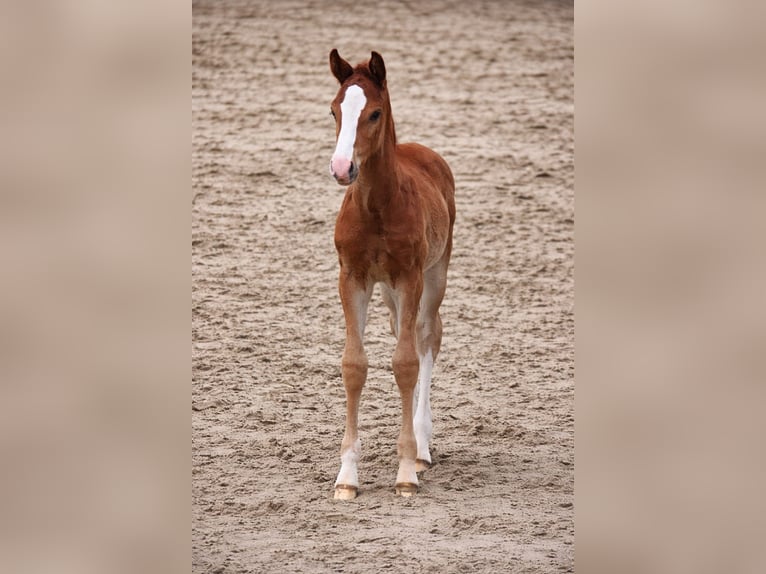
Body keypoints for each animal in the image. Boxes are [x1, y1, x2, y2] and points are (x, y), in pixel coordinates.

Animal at [327, 49, 456, 499]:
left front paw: (405, 472)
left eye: (375, 113)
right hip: (388, 291)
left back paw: (422, 448)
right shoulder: (353, 278)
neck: (377, 207)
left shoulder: (410, 276)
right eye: (334, 110)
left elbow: (405, 363)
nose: (342, 167)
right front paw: (346, 476)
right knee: (406, 330)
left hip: (435, 273)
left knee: (427, 336)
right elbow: (354, 365)